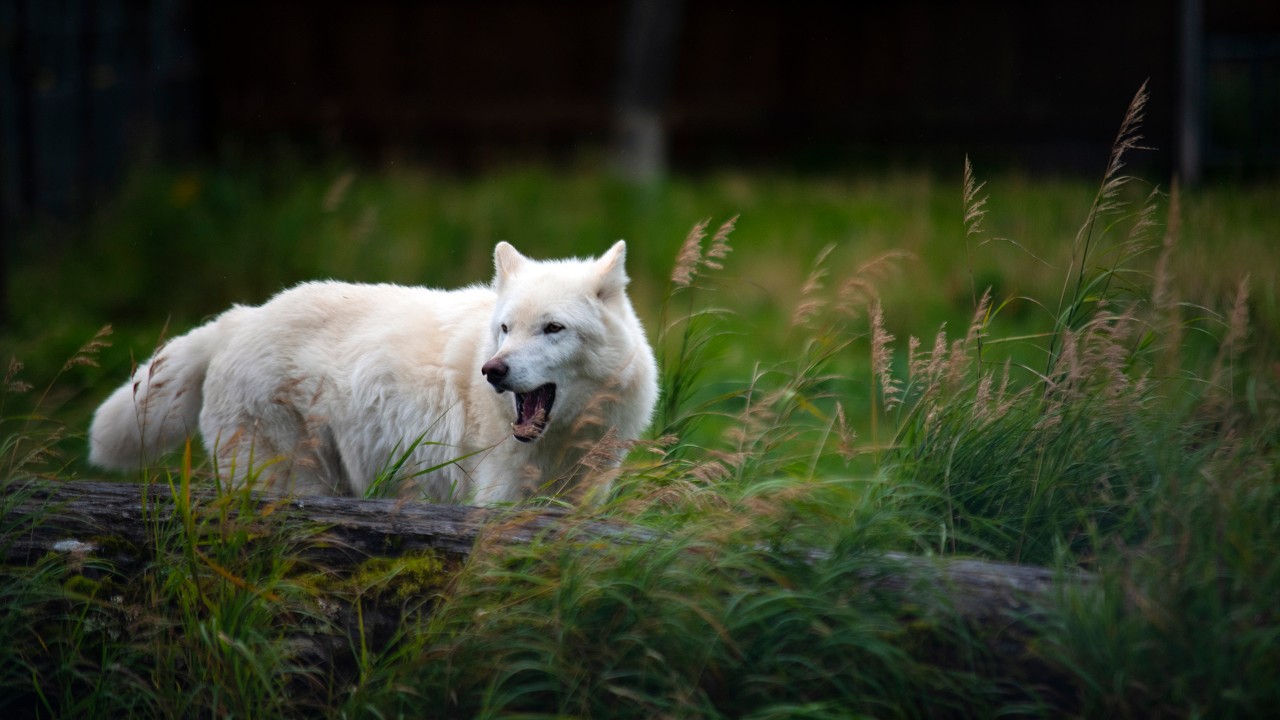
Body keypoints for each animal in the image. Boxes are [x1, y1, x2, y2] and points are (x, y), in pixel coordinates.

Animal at [88, 241, 659, 504]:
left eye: (552, 328)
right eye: (505, 328)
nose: (492, 371)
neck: (564, 440)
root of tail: (241, 317)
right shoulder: (495, 497)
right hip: (293, 481)